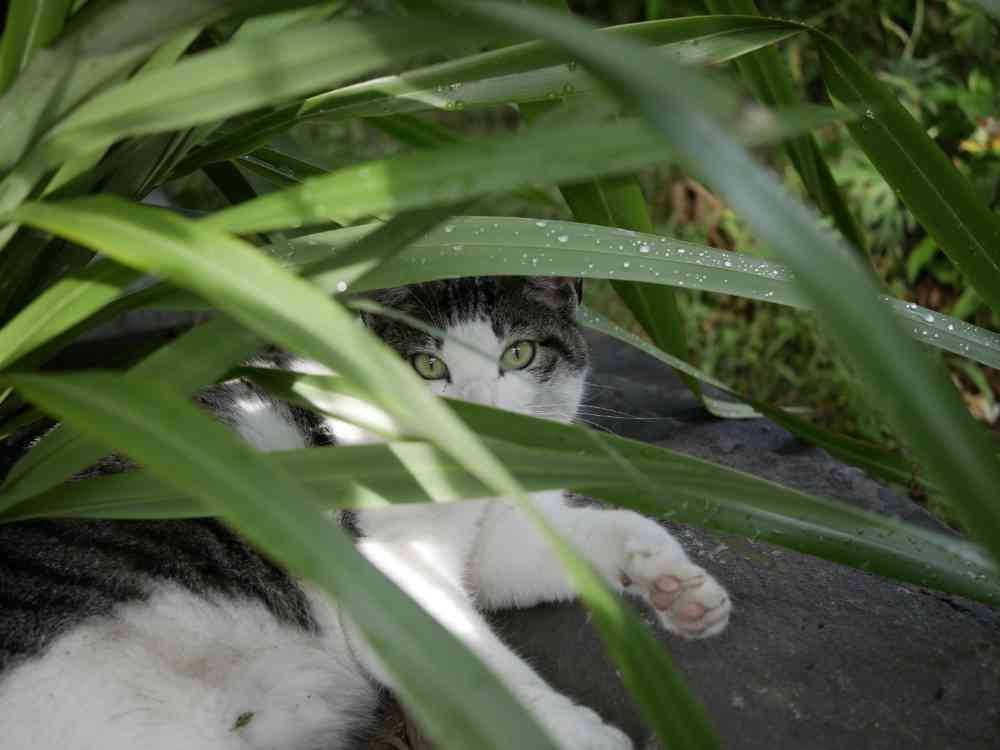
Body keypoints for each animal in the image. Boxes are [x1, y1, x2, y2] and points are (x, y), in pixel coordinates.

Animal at [0, 276, 732, 750]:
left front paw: (680, 588)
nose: (476, 414)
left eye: (518, 355)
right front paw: (571, 733)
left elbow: (610, 530)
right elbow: (478, 667)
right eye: (429, 367)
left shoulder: (498, 545)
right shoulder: (393, 568)